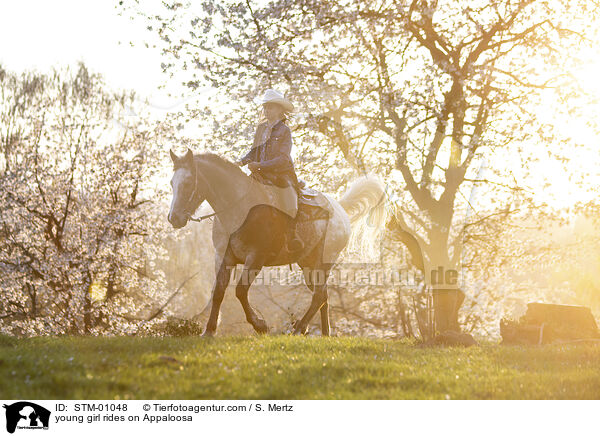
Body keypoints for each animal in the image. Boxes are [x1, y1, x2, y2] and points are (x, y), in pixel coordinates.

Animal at [166, 148, 386, 336]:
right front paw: (209, 330)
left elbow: (240, 290)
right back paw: (324, 333)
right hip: (308, 265)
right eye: (171, 183)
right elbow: (218, 291)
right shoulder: (223, 256)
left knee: (318, 296)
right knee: (323, 295)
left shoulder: (256, 258)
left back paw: (300, 328)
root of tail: (339, 209)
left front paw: (260, 325)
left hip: (324, 262)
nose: (173, 218)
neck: (240, 209)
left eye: (188, 182)